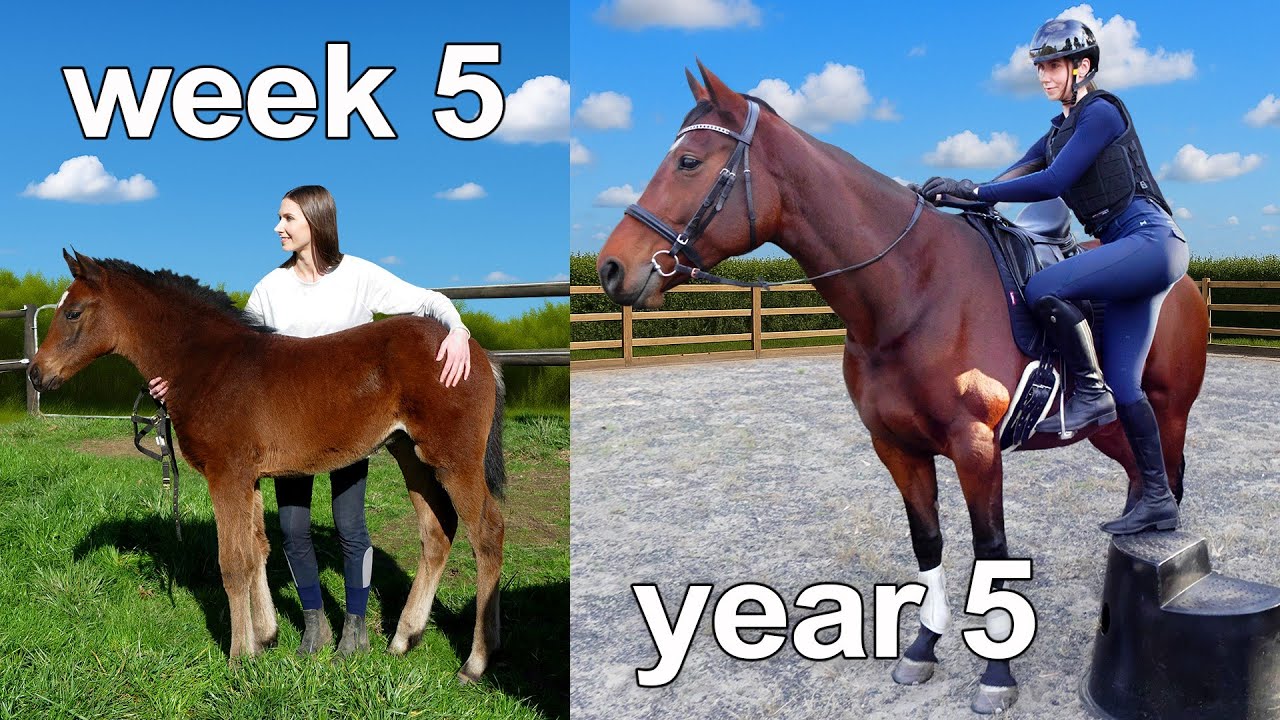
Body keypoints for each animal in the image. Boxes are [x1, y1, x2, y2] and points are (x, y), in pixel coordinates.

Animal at [28, 250, 507, 683]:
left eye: (72, 312)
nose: (35, 373)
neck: (207, 366)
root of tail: (472, 350)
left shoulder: (226, 475)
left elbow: (233, 562)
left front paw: (239, 657)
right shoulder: (250, 478)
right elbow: (257, 549)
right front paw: (266, 637)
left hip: (455, 460)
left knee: (487, 533)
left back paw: (475, 663)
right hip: (410, 455)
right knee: (437, 531)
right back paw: (403, 639)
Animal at [596, 63, 1208, 713]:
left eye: (688, 162)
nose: (611, 267)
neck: (913, 291)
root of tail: (1186, 279)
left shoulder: (976, 448)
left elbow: (991, 550)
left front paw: (997, 675)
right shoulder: (897, 447)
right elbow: (927, 542)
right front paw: (922, 648)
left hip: (1164, 411)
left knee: (1167, 481)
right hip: (1110, 426)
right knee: (1141, 474)